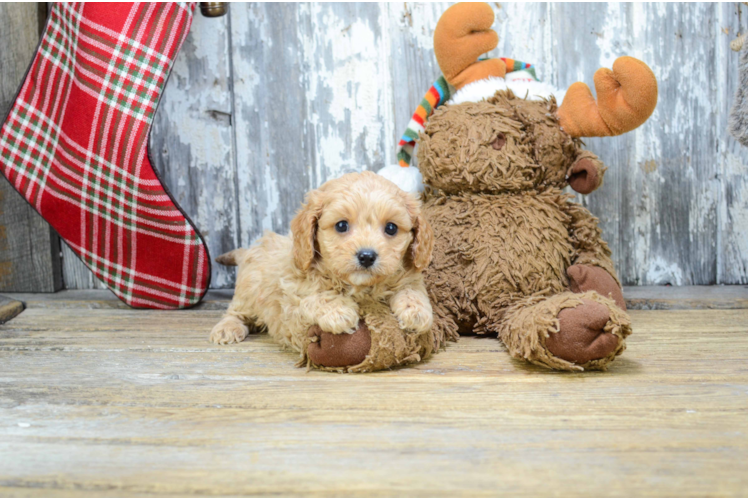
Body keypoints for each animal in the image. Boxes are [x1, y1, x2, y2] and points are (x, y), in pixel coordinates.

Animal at [209, 172, 444, 372]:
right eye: (341, 225)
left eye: (391, 228)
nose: (367, 256)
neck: (360, 287)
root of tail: (249, 250)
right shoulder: (292, 296)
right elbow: (315, 296)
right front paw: (339, 311)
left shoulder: (408, 274)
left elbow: (411, 288)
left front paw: (416, 311)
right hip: (249, 289)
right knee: (235, 311)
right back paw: (227, 328)